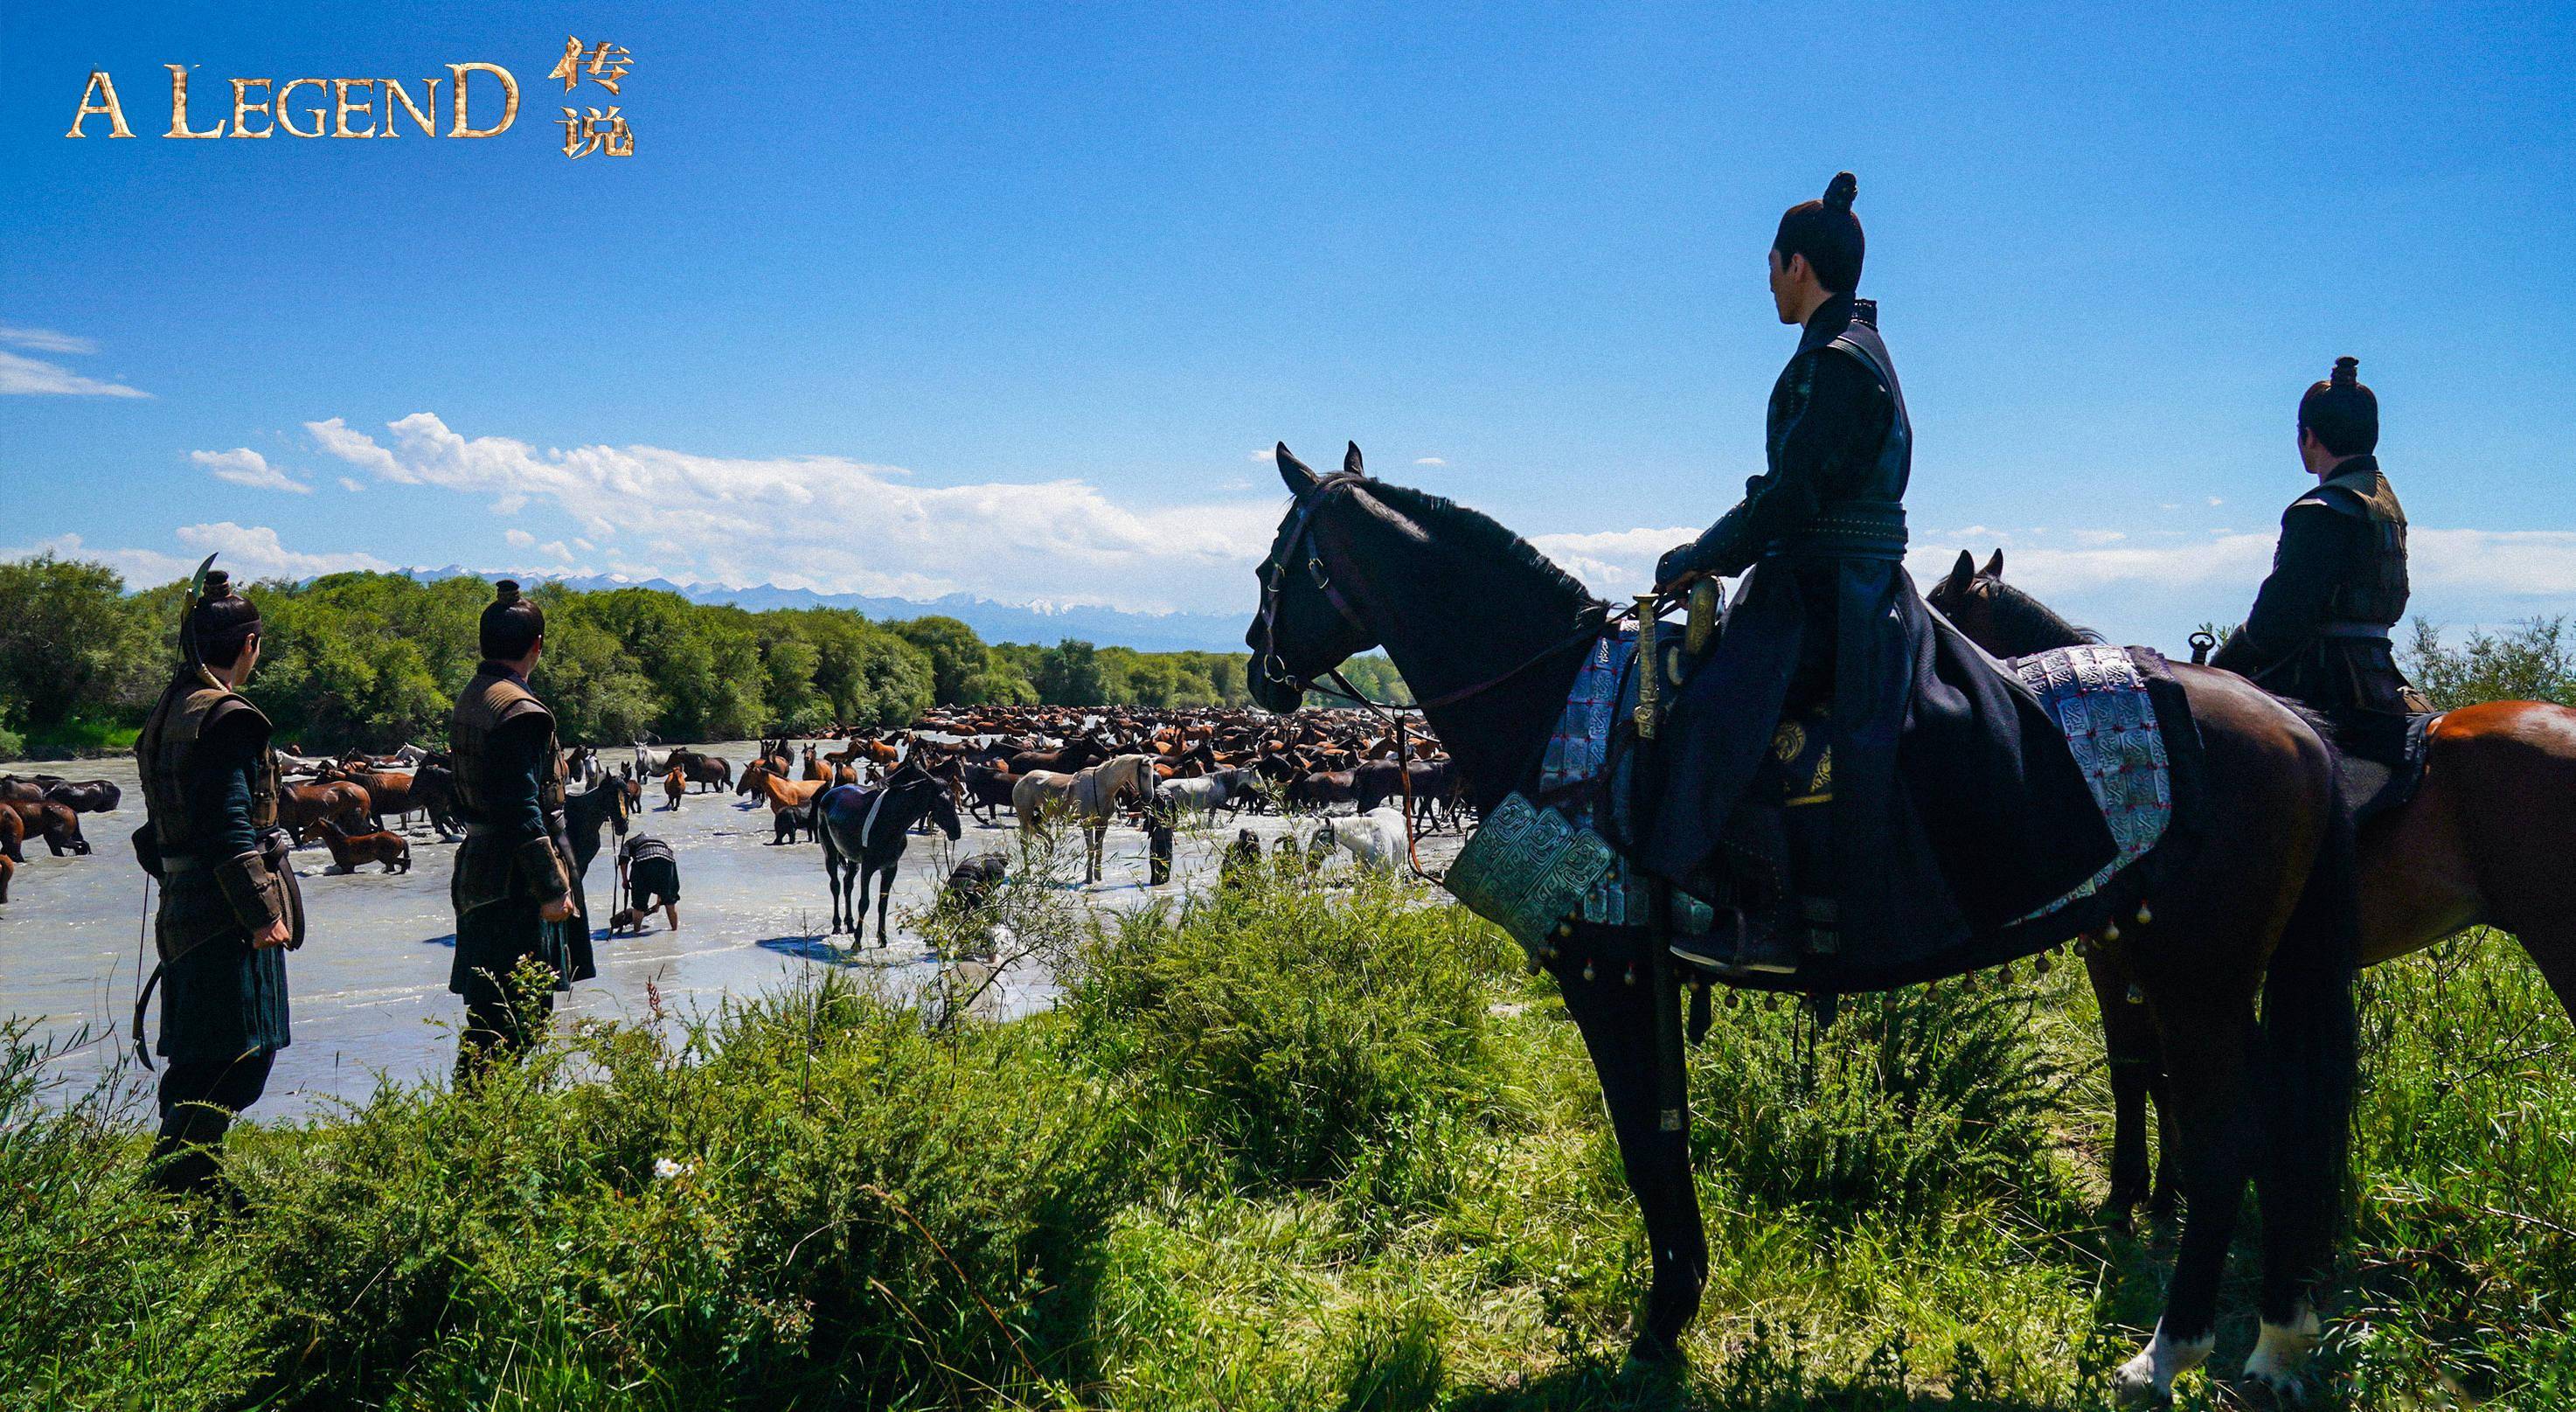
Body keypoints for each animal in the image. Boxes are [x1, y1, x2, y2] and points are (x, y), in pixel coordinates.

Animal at [819, 762, 963, 948]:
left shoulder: (890, 868)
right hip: (830, 853)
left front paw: (882, 937)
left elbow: (883, 903)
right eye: (941, 801)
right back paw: (837, 925)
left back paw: (849, 924)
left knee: (847, 884)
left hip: (852, 859)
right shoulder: (868, 867)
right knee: (835, 885)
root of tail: (828, 794)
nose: (956, 831)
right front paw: (857, 941)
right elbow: (864, 903)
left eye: (953, 798)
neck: (891, 820)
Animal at [1241, 442, 2359, 1402]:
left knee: (2226, 1133)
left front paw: (1660, 1322)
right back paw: (2273, 1335)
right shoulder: (1645, 981)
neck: (1558, 706)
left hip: (2192, 974)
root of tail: (2294, 724)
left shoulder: (1609, 976)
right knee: (2271, 1124)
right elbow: (1667, 1140)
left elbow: (1645, 1146)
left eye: (1271, 561)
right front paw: (1677, 1302)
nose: (1258, 669)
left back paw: (2168, 1350)